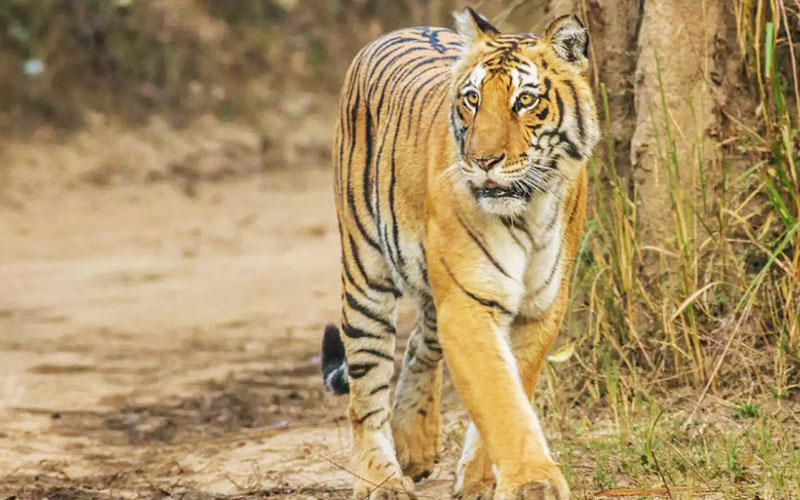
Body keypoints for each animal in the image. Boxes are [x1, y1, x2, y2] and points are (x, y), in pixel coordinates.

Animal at [320, 7, 599, 500]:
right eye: (472, 99)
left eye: (525, 100)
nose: (483, 161)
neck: (528, 210)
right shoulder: (469, 302)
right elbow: (499, 397)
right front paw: (532, 481)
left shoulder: (541, 306)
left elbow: (514, 387)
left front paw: (484, 479)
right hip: (364, 272)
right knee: (366, 391)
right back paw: (380, 480)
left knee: (420, 342)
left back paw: (414, 444)